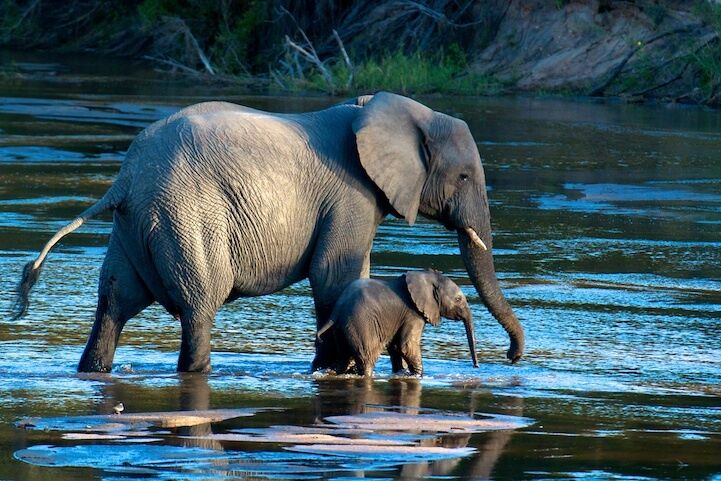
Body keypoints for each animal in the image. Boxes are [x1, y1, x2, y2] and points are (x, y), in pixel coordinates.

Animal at [310, 270, 476, 376]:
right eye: (458, 299)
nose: (476, 366)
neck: (425, 276)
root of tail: (337, 310)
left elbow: (396, 347)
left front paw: (402, 373)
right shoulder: (413, 314)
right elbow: (406, 345)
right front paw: (417, 375)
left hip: (343, 328)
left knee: (344, 358)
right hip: (360, 324)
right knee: (366, 358)